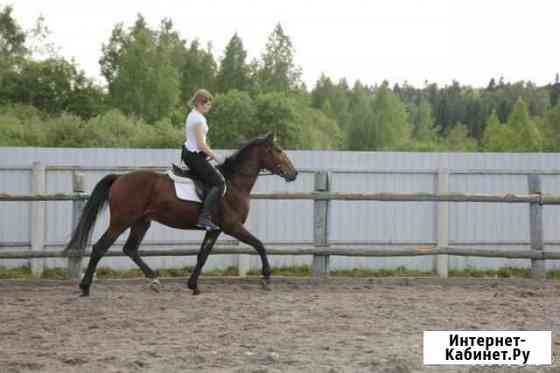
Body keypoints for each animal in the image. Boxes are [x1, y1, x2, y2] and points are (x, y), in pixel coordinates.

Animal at [64, 132, 300, 294]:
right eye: (278, 150)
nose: (294, 173)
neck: (234, 184)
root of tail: (119, 178)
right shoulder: (233, 227)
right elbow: (259, 245)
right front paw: (266, 277)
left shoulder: (215, 230)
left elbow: (202, 256)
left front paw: (193, 285)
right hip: (122, 221)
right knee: (100, 247)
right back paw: (85, 287)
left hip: (141, 222)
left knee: (130, 249)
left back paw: (153, 279)